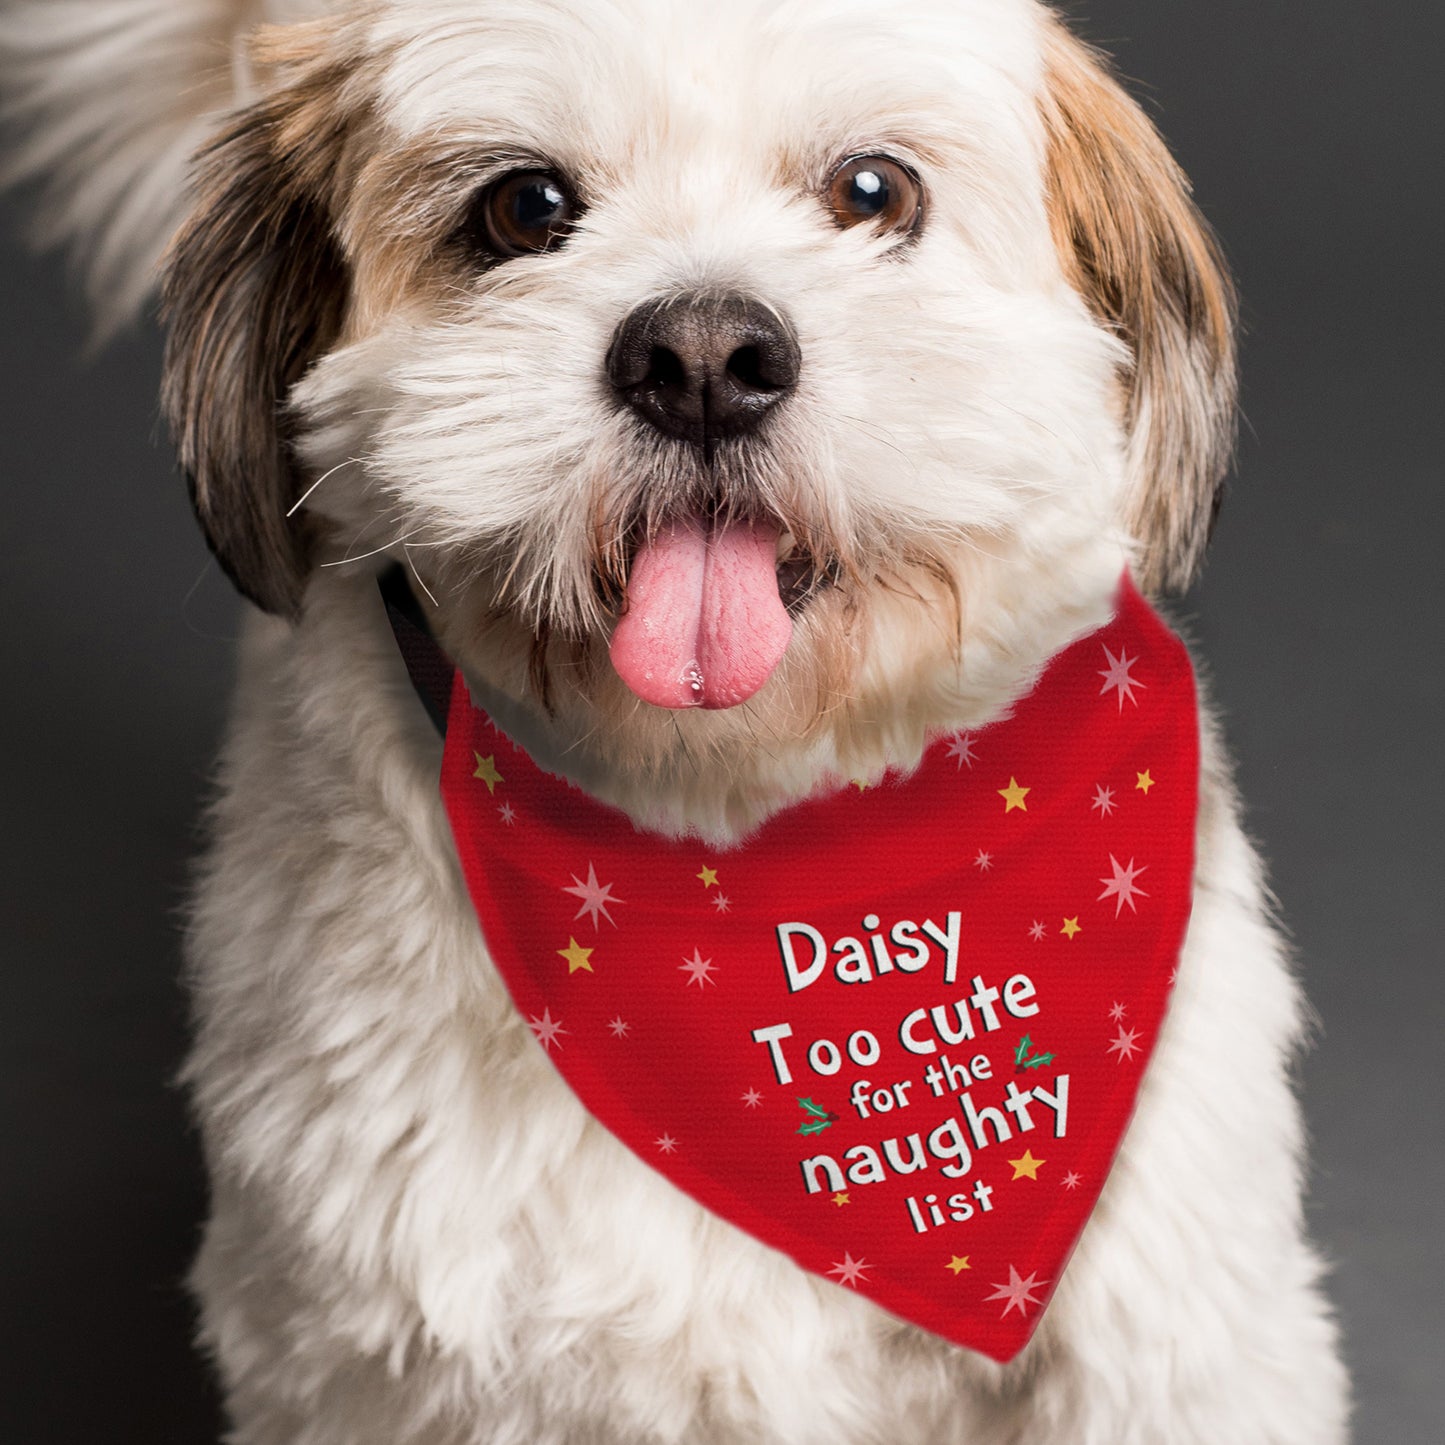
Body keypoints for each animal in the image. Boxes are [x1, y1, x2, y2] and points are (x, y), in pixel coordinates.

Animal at [5, 2, 1346, 1445]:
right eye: (525, 208)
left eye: (871, 190)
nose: (702, 356)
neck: (742, 846)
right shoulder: (370, 1360)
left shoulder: (1170, 1342)